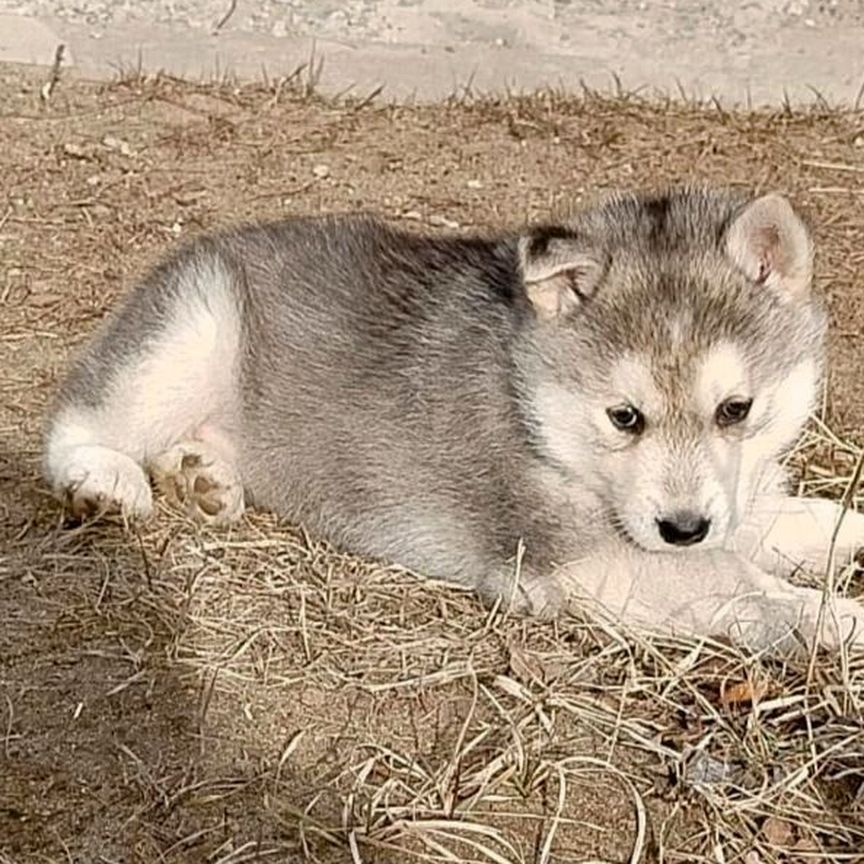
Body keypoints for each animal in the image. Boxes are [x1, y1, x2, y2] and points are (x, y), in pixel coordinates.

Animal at [44, 187, 864, 648]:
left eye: (736, 410)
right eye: (624, 417)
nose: (683, 527)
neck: (537, 410)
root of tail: (213, 242)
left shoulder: (729, 505)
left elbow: (803, 525)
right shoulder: (568, 560)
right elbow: (741, 580)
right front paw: (840, 617)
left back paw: (204, 478)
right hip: (192, 331)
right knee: (78, 423)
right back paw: (108, 484)